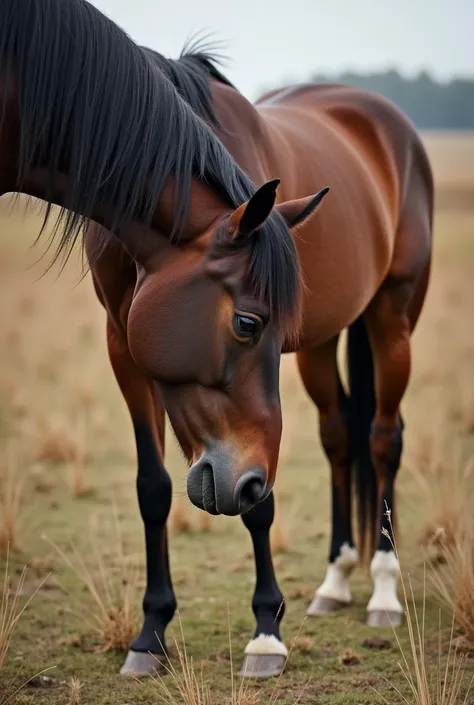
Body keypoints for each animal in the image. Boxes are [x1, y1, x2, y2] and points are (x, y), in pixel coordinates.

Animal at [1, 0, 436, 680]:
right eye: (247, 323)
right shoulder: (124, 345)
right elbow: (153, 487)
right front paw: (150, 634)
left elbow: (260, 503)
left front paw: (265, 636)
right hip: (321, 345)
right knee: (341, 435)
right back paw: (336, 582)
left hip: (393, 318)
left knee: (384, 438)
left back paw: (384, 594)